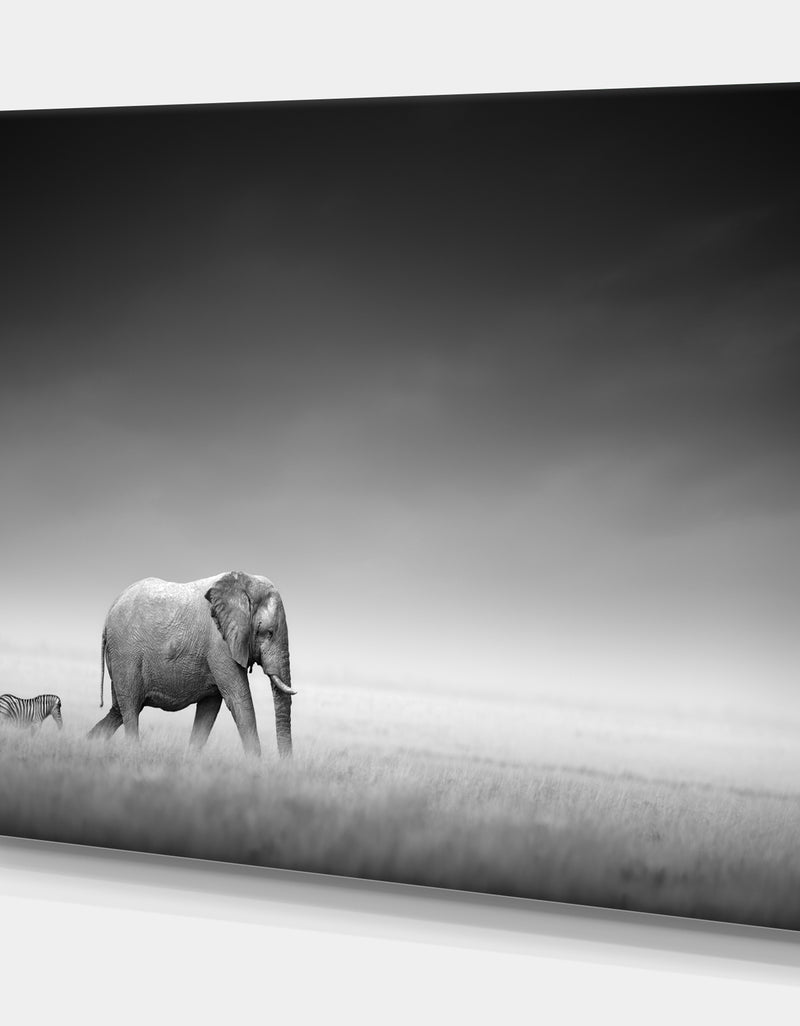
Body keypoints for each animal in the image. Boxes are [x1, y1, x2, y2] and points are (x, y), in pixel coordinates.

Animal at [88, 571, 296, 757]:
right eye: (268, 632)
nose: (284, 766)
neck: (244, 583)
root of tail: (110, 612)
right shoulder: (219, 644)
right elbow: (238, 699)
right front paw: (255, 765)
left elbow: (209, 709)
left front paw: (191, 761)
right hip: (125, 654)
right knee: (130, 708)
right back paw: (133, 753)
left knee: (118, 709)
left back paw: (88, 742)